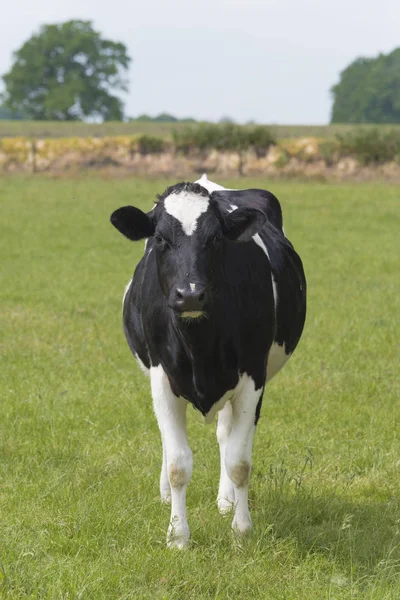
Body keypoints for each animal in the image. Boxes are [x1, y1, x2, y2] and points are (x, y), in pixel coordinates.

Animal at [110, 173, 306, 548]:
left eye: (215, 238)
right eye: (160, 237)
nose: (190, 295)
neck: (200, 347)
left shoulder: (252, 378)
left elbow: (239, 461)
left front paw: (241, 531)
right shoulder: (161, 379)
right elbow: (178, 463)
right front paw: (177, 536)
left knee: (226, 436)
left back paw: (226, 501)